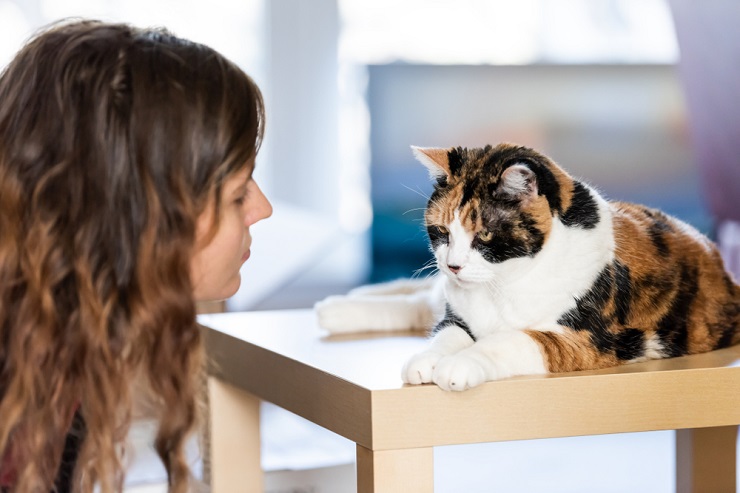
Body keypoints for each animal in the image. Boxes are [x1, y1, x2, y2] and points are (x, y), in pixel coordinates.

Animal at [314, 143, 740, 392]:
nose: (453, 266)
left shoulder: (587, 339)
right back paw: (337, 308)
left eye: (484, 235)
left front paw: (460, 366)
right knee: (418, 302)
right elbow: (444, 333)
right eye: (441, 232)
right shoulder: (458, 314)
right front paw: (426, 360)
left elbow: (509, 340)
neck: (503, 285)